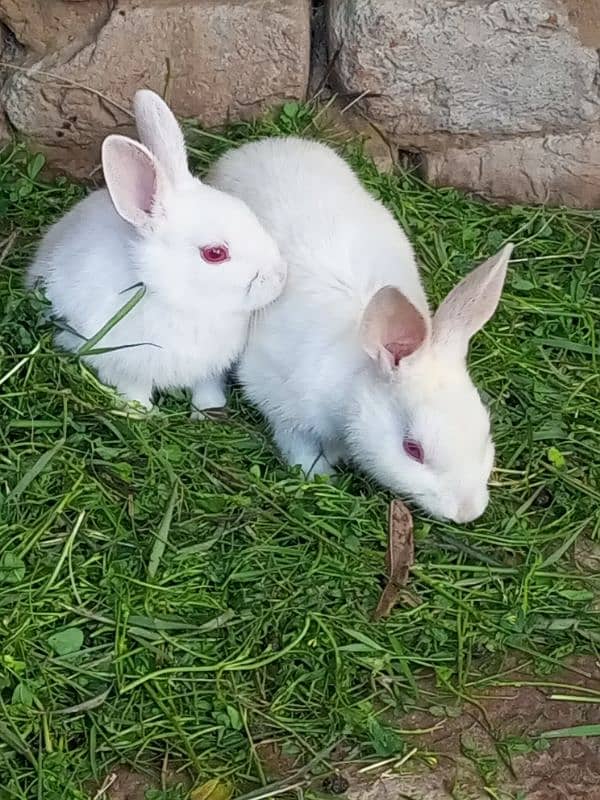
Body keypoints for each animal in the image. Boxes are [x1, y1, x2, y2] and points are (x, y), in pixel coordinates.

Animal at [29, 90, 288, 416]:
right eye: (215, 253)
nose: (280, 277)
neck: (175, 298)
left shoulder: (210, 370)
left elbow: (206, 387)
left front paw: (208, 411)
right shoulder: (122, 365)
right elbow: (134, 389)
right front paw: (139, 412)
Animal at [209, 136, 512, 524]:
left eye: (485, 431)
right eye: (413, 449)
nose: (467, 512)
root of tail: (265, 144)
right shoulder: (281, 404)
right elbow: (296, 444)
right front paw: (318, 474)